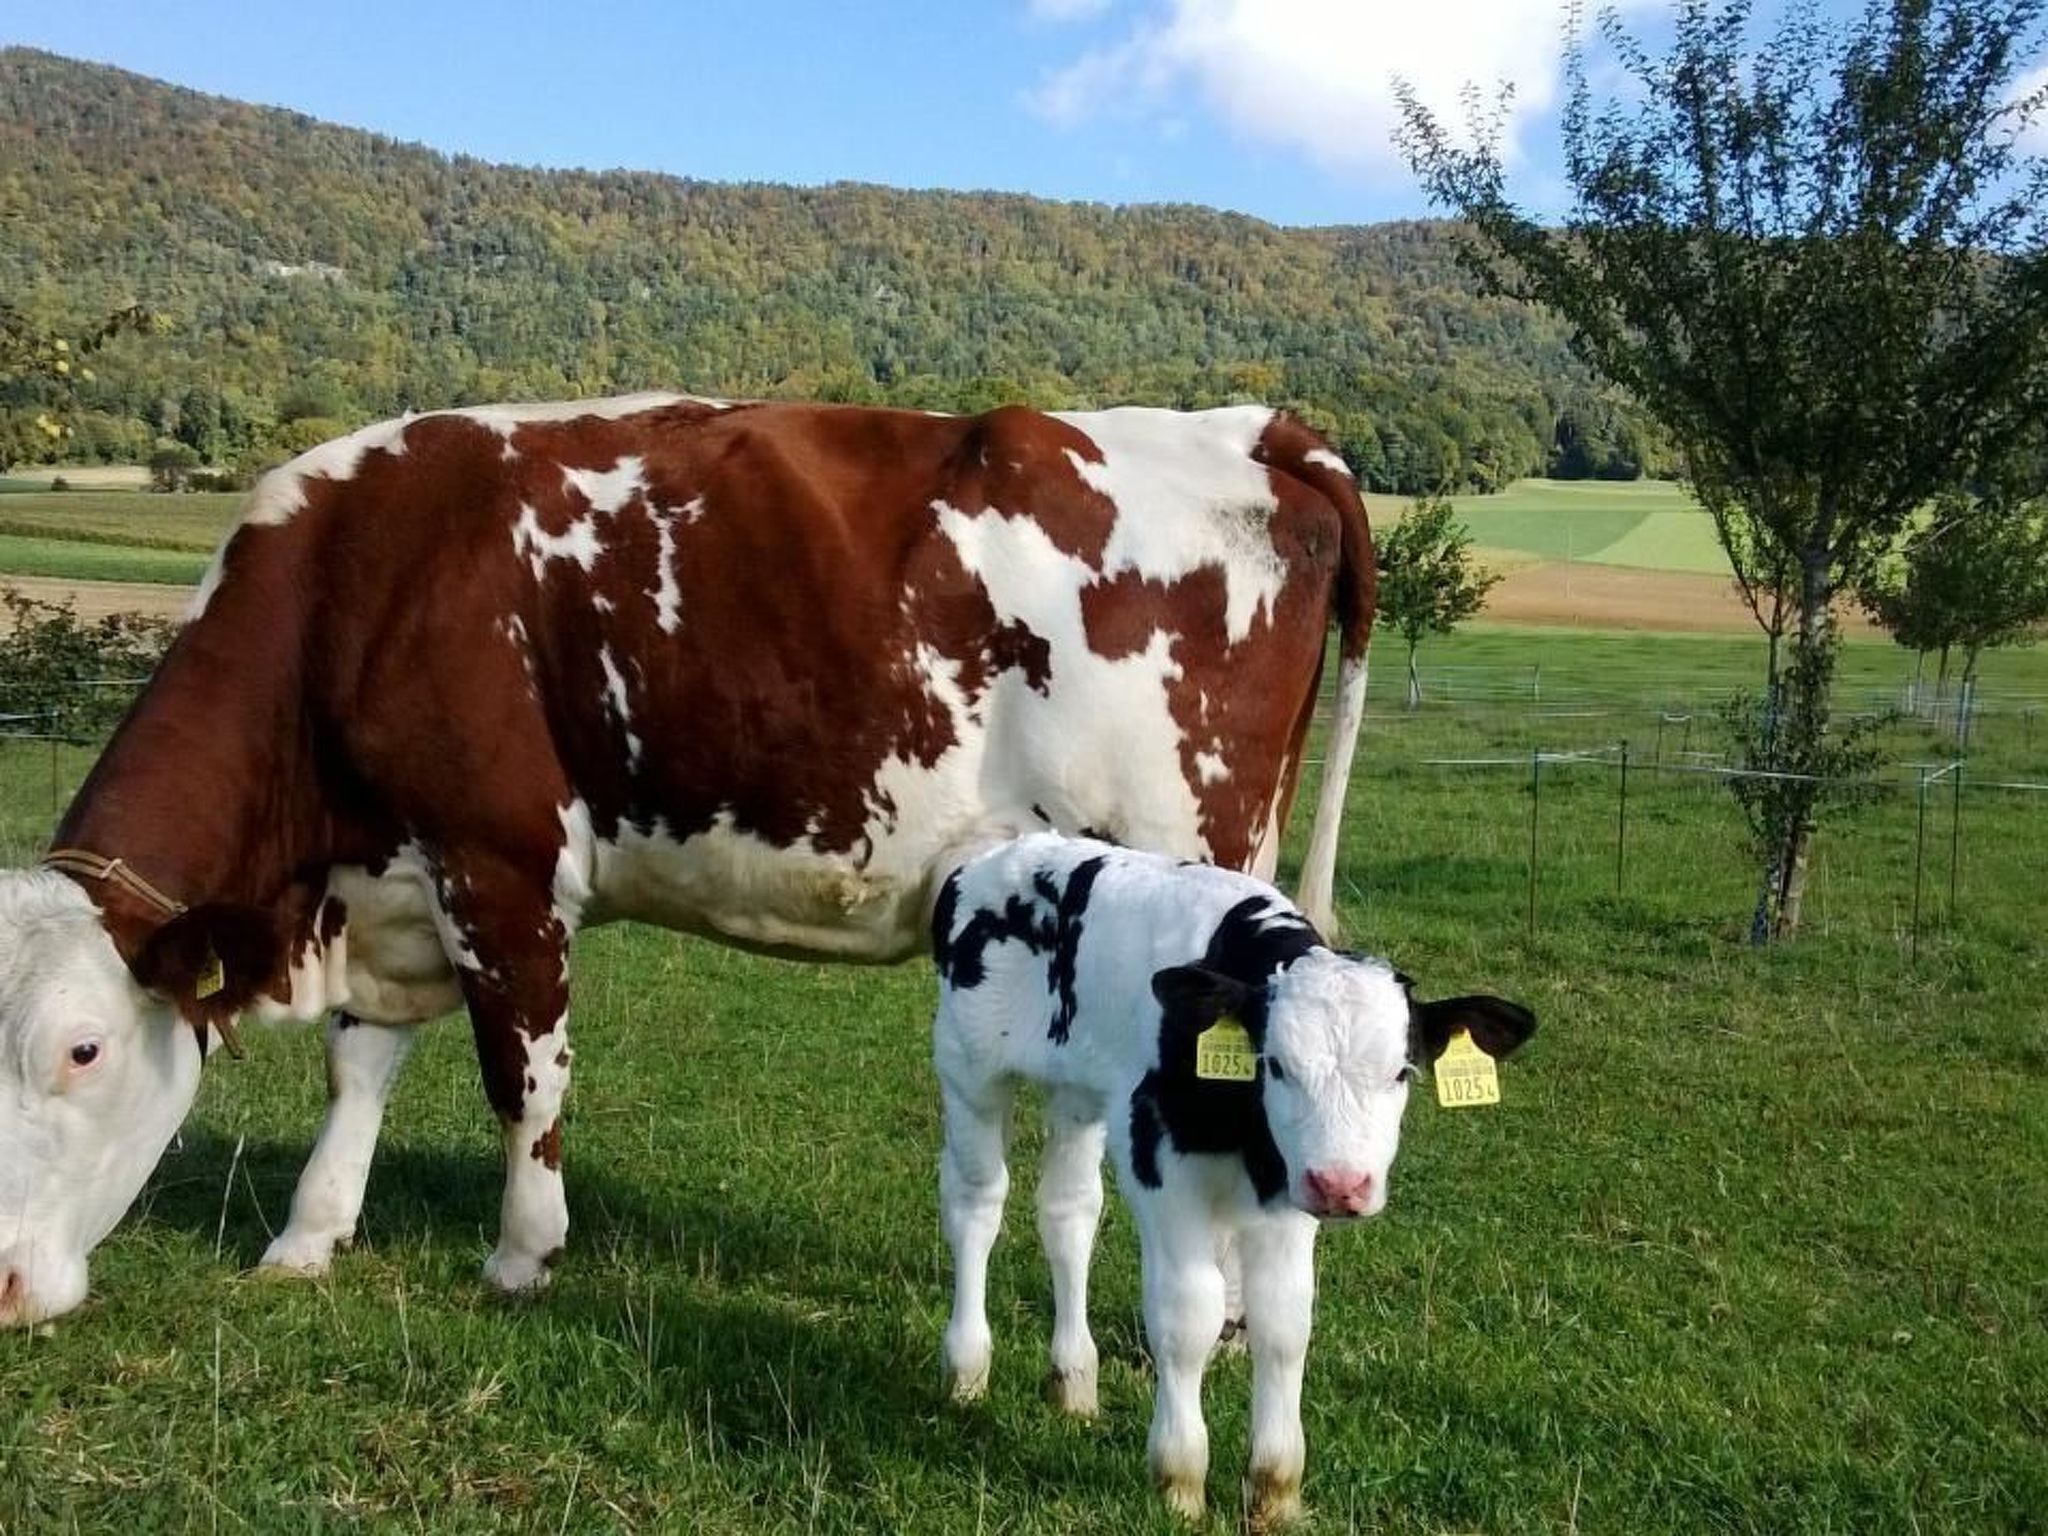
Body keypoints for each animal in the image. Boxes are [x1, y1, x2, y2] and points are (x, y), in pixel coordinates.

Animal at [0, 394, 1375, 1328]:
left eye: (85, 1050)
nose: (6, 1286)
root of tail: (1251, 427)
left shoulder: (500, 865)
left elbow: (524, 1080)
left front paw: (522, 1255)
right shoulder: (387, 878)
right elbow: (360, 1072)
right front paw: (307, 1237)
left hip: (1188, 873)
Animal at [930, 832, 1536, 1526]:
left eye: (1402, 1072)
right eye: (1276, 1065)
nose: (1342, 1185)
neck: (1242, 1132)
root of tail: (1005, 852)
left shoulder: (1288, 1189)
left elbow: (1284, 1322)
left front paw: (1274, 1489)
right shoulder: (1163, 1166)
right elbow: (1189, 1315)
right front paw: (1180, 1483)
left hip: (1077, 1093)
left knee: (1068, 1213)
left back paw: (1074, 1382)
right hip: (969, 1073)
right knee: (977, 1204)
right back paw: (967, 1373)